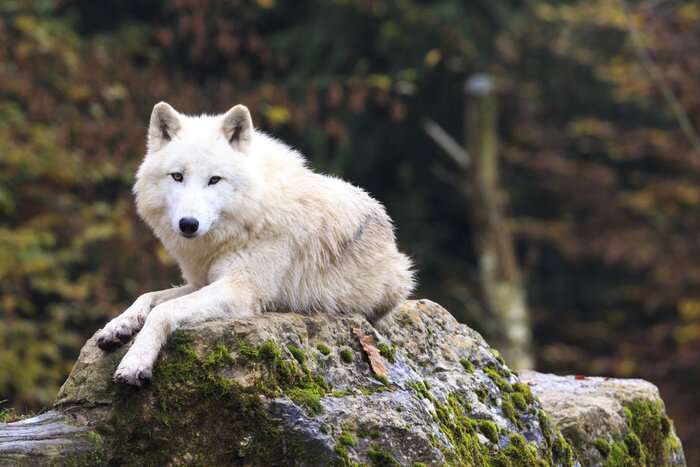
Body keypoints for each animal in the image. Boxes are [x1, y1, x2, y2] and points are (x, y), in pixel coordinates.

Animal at [95, 102, 415, 385]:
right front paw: (117, 326)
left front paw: (135, 362)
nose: (188, 224)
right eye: (177, 176)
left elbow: (163, 311)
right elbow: (148, 297)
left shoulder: (240, 290)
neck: (249, 214)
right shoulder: (203, 281)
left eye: (214, 180)